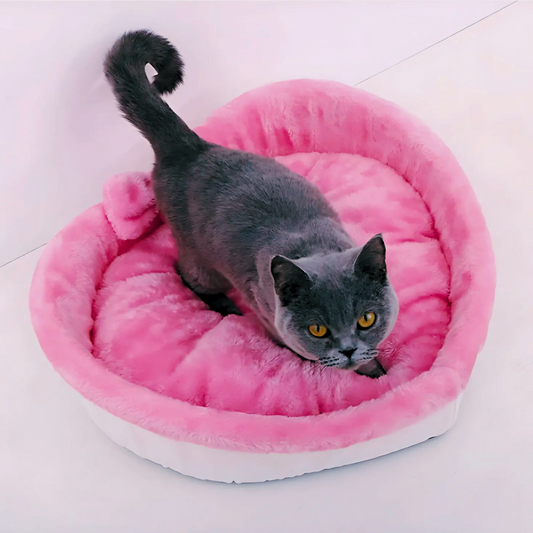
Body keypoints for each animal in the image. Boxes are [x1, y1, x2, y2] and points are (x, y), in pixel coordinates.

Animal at [104, 30, 396, 378]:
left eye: (367, 319)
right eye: (318, 330)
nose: (349, 349)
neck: (316, 248)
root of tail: (190, 147)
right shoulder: (264, 307)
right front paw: (366, 371)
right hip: (201, 261)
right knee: (184, 273)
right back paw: (224, 306)